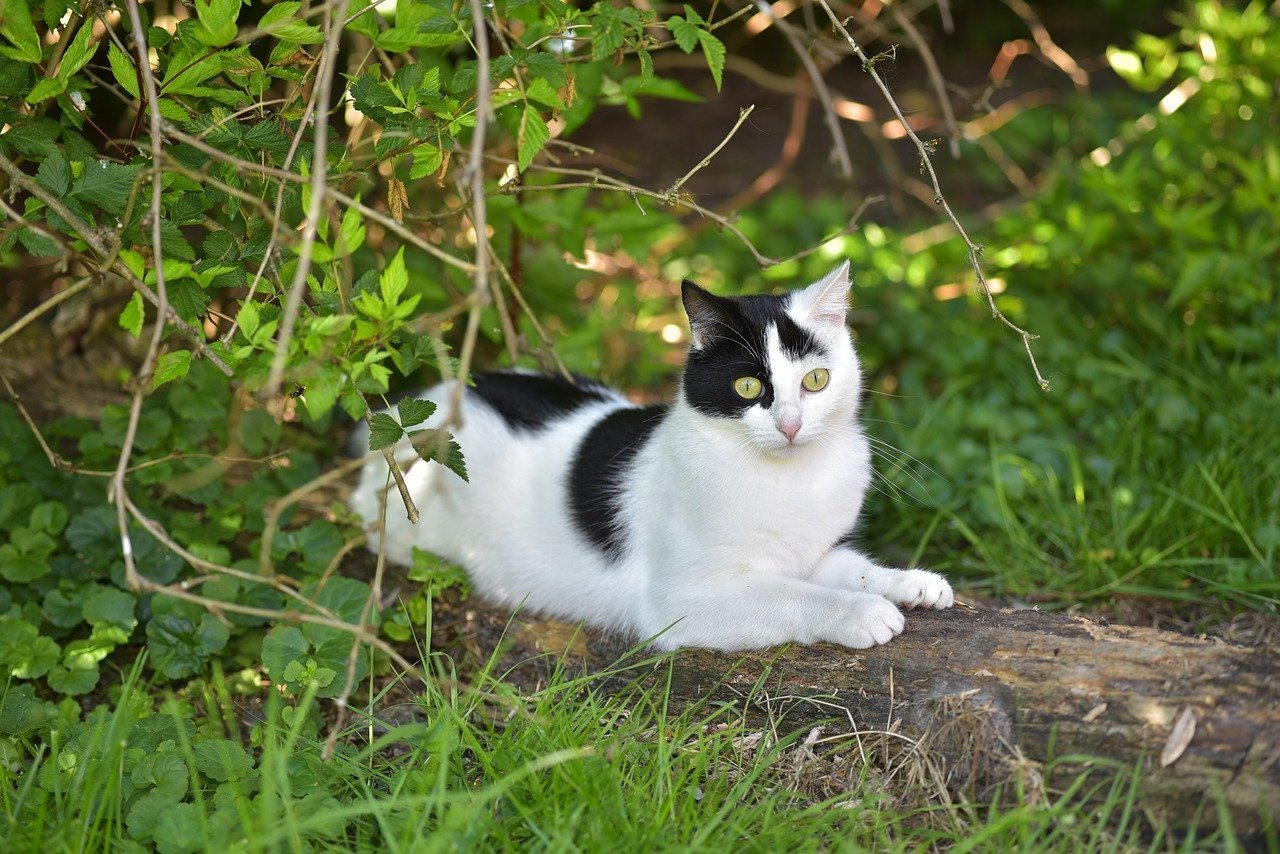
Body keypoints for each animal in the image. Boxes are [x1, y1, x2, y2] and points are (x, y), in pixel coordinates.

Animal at [348, 263, 952, 650]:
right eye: (748, 388)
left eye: (816, 380)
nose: (790, 425)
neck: (790, 480)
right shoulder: (683, 601)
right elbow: (793, 596)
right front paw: (861, 613)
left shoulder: (818, 552)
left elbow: (851, 569)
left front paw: (909, 583)